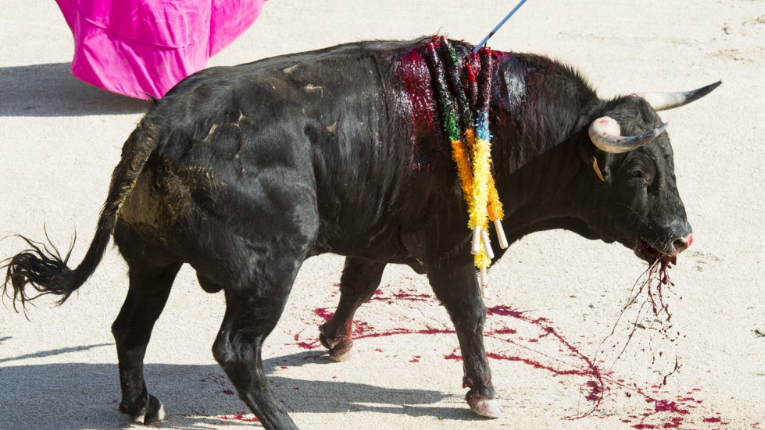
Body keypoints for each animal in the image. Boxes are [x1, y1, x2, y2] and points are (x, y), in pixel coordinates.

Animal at [4, 38, 716, 428]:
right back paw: (283, 422)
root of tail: (160, 122)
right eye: (640, 173)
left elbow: (358, 285)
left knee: (131, 327)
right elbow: (471, 314)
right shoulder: (450, 250)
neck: (506, 122)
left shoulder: (375, 237)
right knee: (236, 349)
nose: (682, 237)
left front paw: (334, 340)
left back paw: (142, 406)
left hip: (153, 262)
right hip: (267, 270)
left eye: (671, 164)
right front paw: (483, 394)